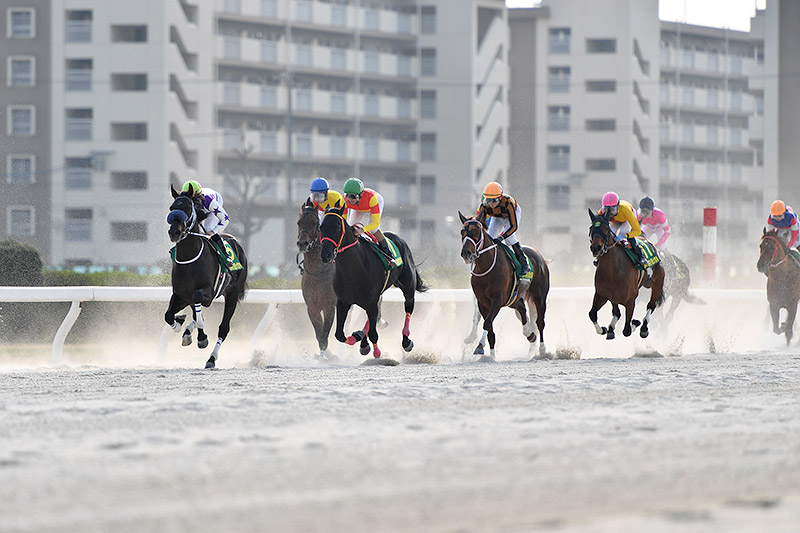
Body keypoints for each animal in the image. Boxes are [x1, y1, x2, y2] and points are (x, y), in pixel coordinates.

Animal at [165, 185, 247, 368]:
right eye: (171, 208)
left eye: (188, 209)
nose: (174, 232)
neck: (189, 260)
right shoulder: (180, 295)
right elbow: (168, 316)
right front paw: (180, 324)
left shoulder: (207, 293)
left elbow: (201, 316)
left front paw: (202, 338)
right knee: (196, 314)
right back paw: (187, 331)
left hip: (232, 294)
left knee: (224, 328)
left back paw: (211, 358)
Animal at [320, 203, 428, 358]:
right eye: (321, 227)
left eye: (337, 227)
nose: (326, 255)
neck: (352, 269)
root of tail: (399, 239)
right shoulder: (343, 301)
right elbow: (339, 335)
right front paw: (357, 338)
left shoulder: (370, 301)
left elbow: (373, 334)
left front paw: (377, 351)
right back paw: (361, 337)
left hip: (408, 286)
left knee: (409, 307)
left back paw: (406, 340)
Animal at [456, 211, 552, 358]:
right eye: (462, 231)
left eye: (476, 230)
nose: (466, 253)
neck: (486, 269)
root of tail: (539, 255)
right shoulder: (482, 302)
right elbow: (489, 327)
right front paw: (491, 355)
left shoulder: (498, 299)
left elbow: (487, 322)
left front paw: (479, 347)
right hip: (514, 298)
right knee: (522, 310)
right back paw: (530, 334)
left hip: (539, 297)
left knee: (540, 322)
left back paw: (542, 349)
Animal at [584, 208, 664, 336]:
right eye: (591, 228)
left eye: (606, 228)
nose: (596, 248)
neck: (613, 272)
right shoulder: (601, 295)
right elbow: (592, 314)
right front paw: (603, 329)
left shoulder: (630, 301)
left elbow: (627, 330)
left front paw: (635, 322)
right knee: (616, 312)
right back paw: (611, 328)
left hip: (657, 284)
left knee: (651, 306)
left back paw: (644, 327)